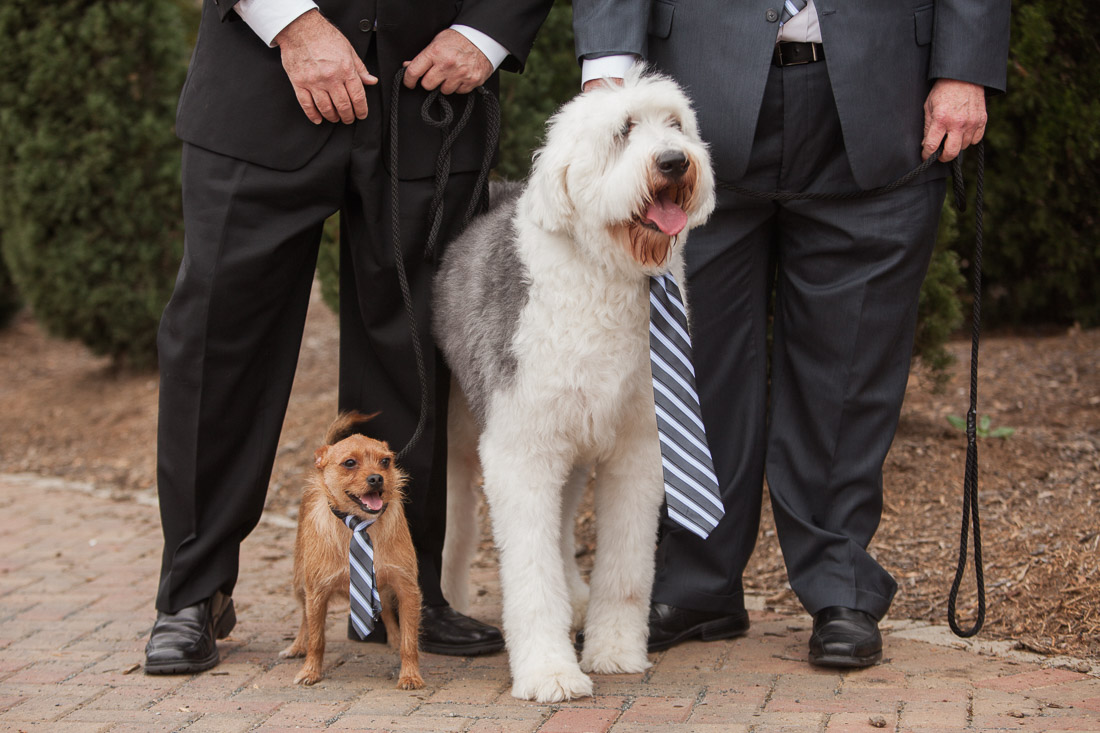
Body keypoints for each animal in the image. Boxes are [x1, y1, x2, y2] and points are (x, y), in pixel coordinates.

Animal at [279, 411, 424, 686]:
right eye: (349, 463)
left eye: (385, 461)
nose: (376, 478)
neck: (359, 524)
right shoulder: (317, 592)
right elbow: (317, 639)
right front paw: (310, 671)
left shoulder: (406, 589)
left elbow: (410, 641)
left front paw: (410, 674)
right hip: (300, 582)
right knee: (304, 618)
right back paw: (297, 646)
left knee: (387, 611)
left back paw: (393, 637)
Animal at [433, 68, 717, 704]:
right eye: (624, 130)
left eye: (675, 124)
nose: (673, 161)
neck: (603, 272)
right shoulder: (520, 447)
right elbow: (529, 571)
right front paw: (549, 672)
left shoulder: (638, 447)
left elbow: (627, 566)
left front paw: (615, 652)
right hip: (459, 433)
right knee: (456, 520)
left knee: (561, 527)